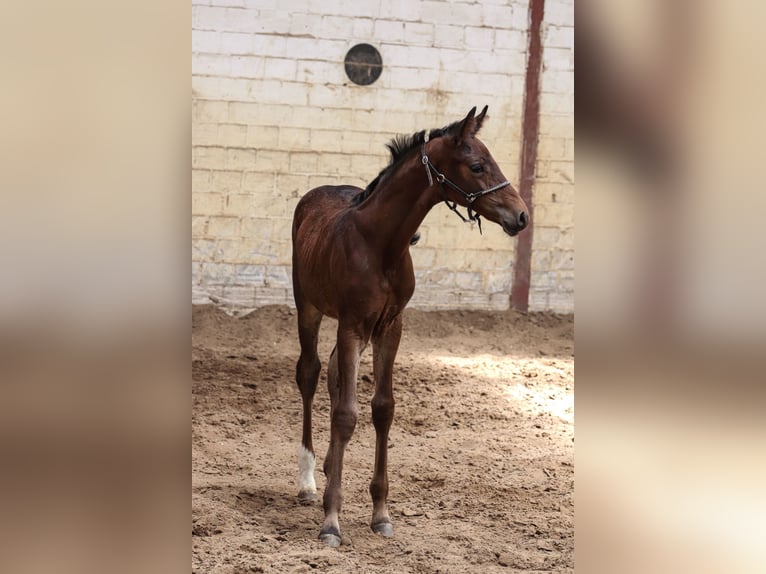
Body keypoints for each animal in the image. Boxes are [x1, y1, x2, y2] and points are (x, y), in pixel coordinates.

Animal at [290, 106, 529, 547]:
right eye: (477, 165)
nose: (520, 216)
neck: (380, 245)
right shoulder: (352, 324)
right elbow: (346, 414)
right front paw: (331, 520)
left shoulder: (390, 326)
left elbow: (383, 408)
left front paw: (380, 515)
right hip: (309, 306)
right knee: (310, 372)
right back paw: (308, 480)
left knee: (330, 371)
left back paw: (329, 468)